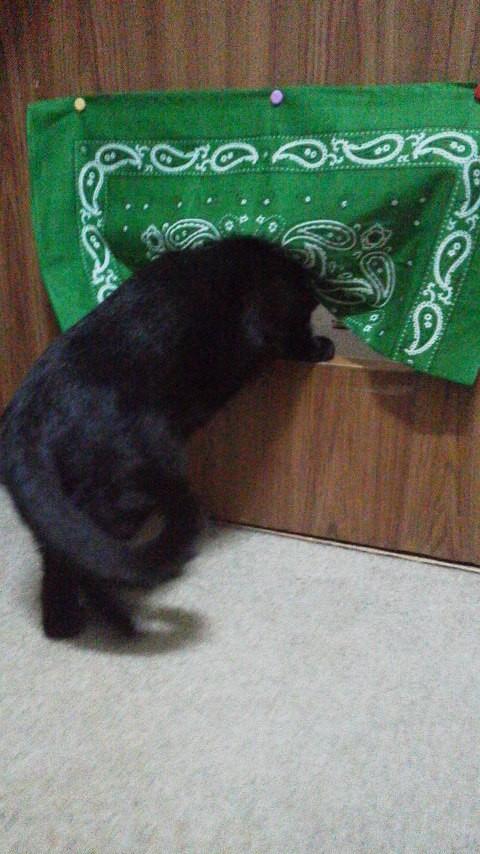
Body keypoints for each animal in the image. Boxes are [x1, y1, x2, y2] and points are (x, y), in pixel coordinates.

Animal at [0, 237, 334, 639]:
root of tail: (29, 404)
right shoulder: (273, 314)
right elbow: (292, 337)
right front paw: (319, 346)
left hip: (60, 495)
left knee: (61, 544)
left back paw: (64, 623)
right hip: (131, 487)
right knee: (86, 550)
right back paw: (113, 617)